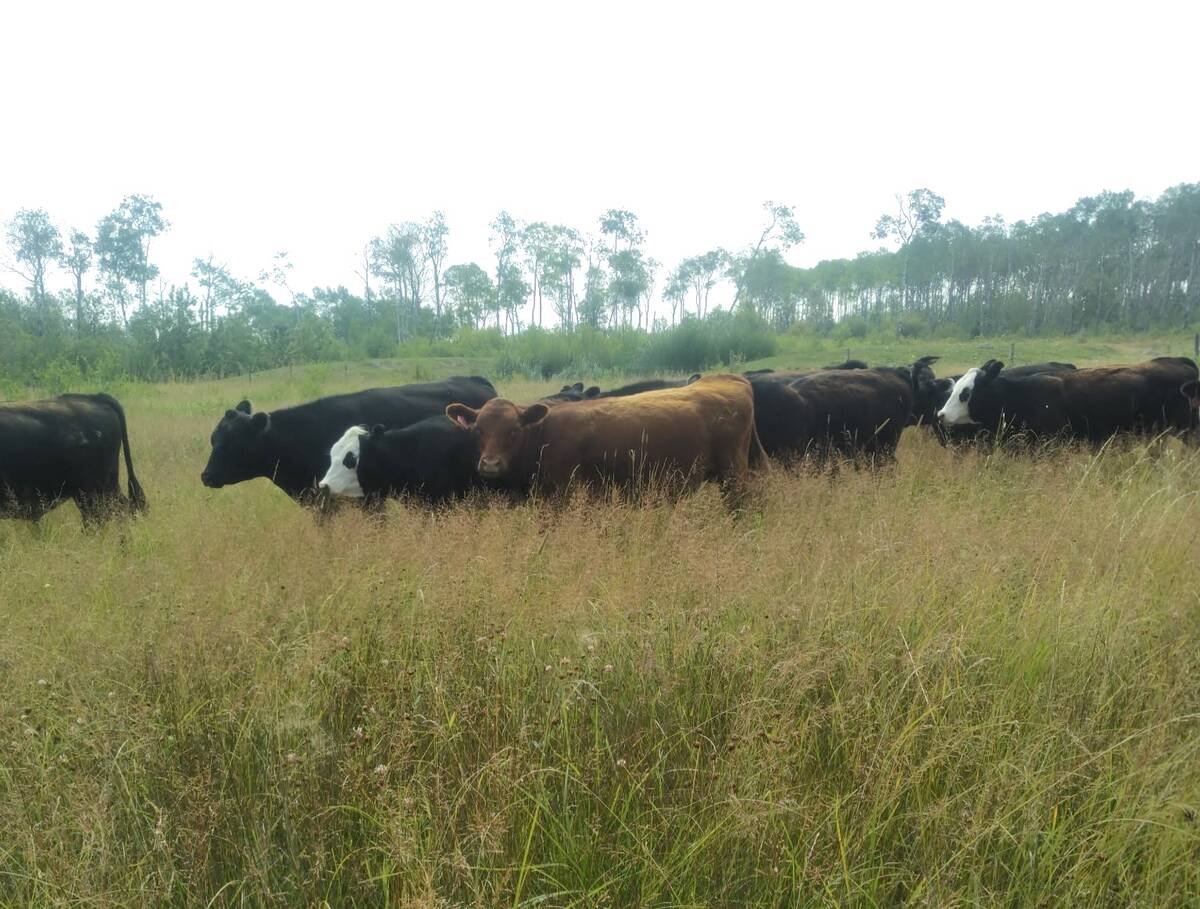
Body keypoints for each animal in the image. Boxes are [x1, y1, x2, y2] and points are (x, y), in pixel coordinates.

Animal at [444, 373, 765, 499]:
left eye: (513, 430)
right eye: (478, 430)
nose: (490, 464)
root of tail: (726, 378)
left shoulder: (569, 492)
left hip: (733, 474)